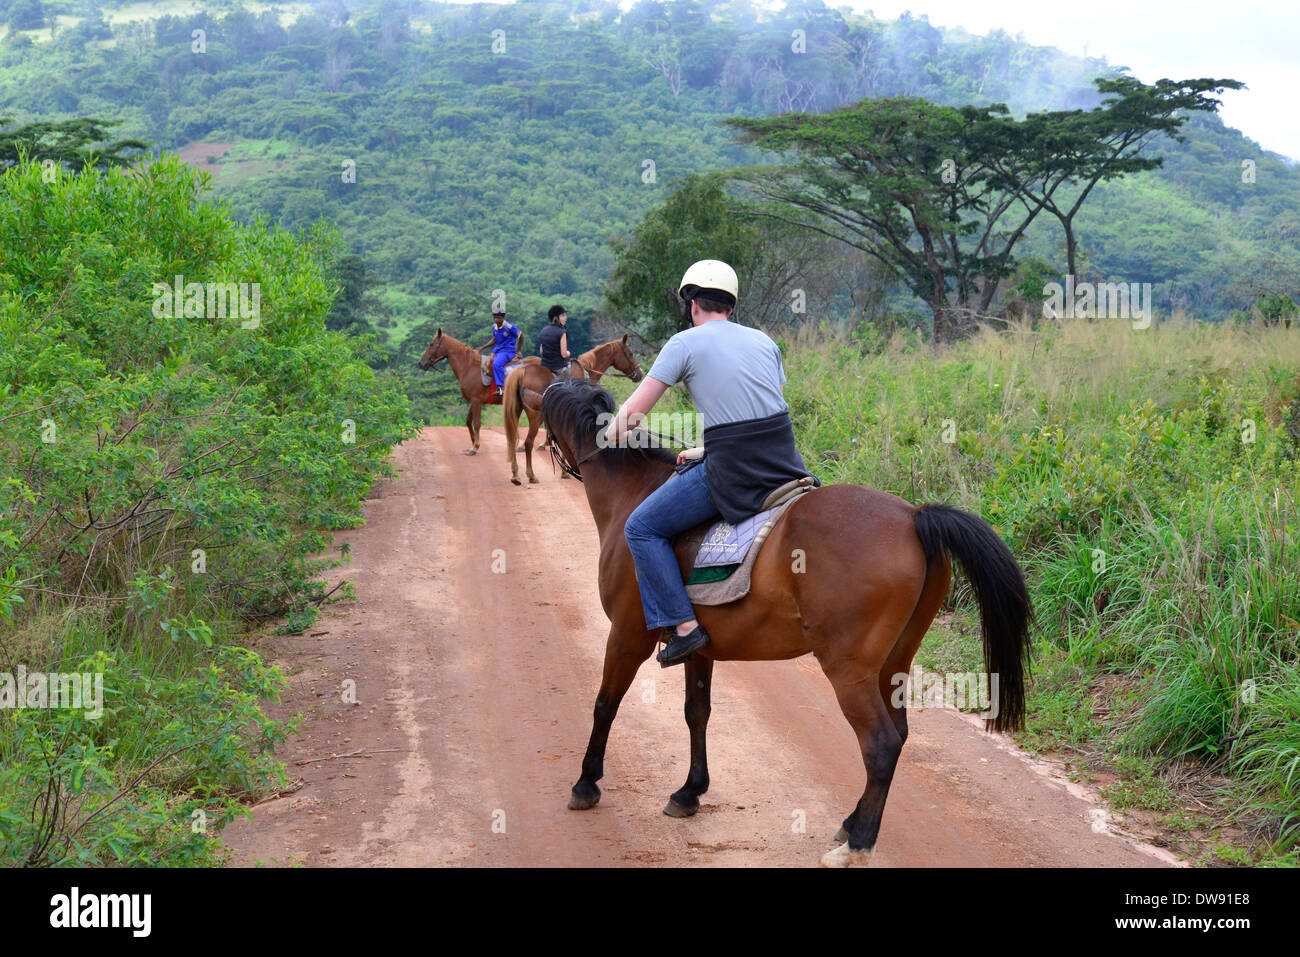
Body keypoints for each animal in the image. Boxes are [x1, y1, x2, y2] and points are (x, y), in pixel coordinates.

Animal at [506, 335, 650, 486]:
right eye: (630, 354)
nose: (640, 374)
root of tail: (522, 369)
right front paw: (564, 471)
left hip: (517, 410)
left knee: (512, 439)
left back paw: (515, 474)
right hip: (536, 414)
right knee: (528, 442)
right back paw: (531, 475)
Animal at [538, 379, 1024, 868]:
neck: (632, 491)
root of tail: (913, 516)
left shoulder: (627, 635)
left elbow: (605, 704)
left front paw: (587, 782)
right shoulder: (698, 647)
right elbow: (697, 712)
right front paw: (690, 791)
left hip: (848, 669)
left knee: (882, 745)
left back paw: (857, 844)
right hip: (894, 661)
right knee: (900, 734)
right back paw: (851, 823)